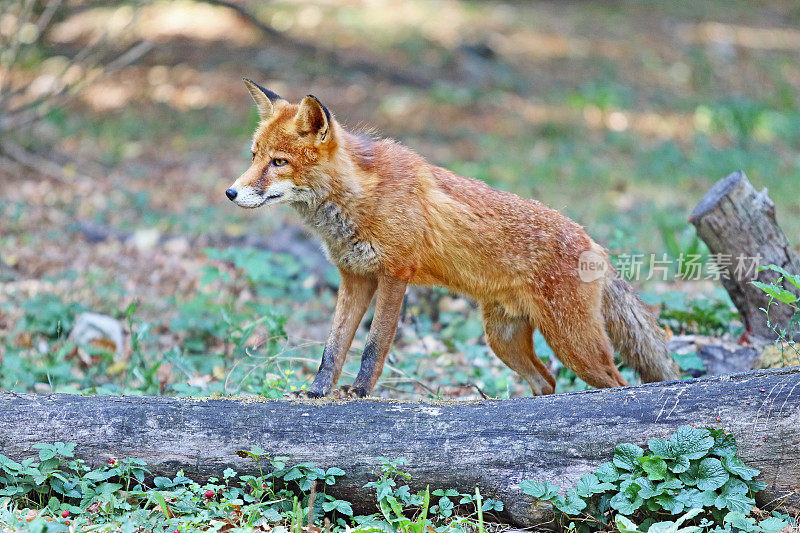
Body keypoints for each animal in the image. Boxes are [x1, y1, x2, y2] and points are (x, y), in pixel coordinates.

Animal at [227, 77, 680, 396]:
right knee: (546, 381)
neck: (359, 197)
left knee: (617, 386)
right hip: (504, 340)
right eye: (253, 156)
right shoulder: (354, 276)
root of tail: (593, 242)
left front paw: (358, 393)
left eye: (279, 162)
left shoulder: (395, 274)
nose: (230, 192)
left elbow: (374, 346)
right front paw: (317, 393)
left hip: (574, 344)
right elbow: (332, 347)